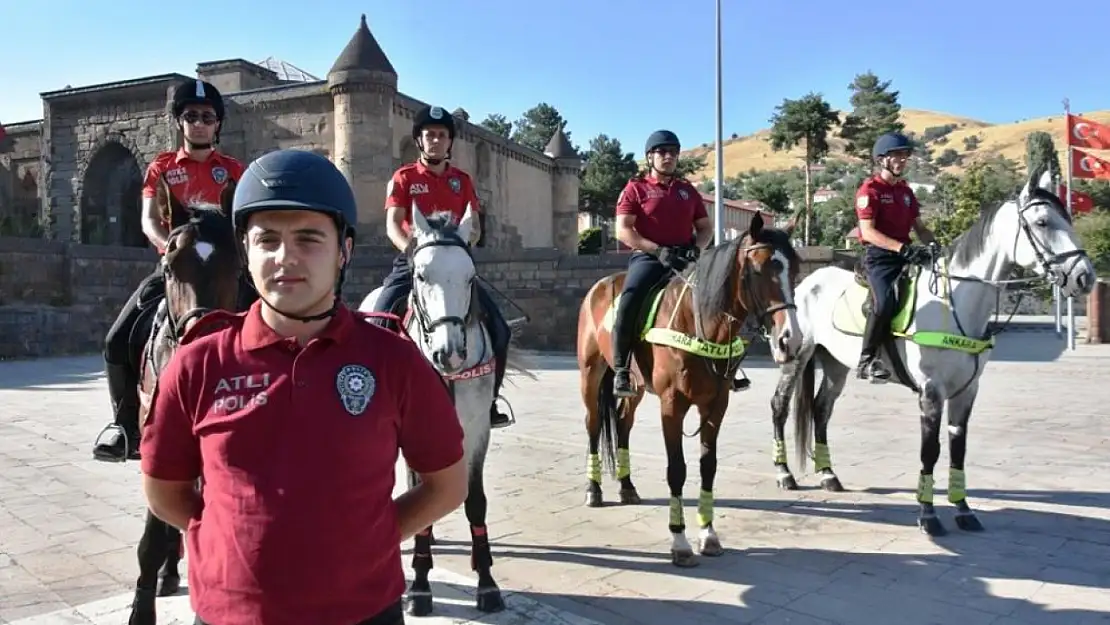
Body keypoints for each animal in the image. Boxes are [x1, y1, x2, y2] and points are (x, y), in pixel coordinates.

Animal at [352, 204, 530, 617]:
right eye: (420, 275)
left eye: (470, 277)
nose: (448, 353)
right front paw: (419, 587)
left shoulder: (477, 428)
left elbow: (476, 502)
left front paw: (487, 583)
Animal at [577, 214, 803, 568]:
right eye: (758, 269)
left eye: (795, 268)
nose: (789, 340)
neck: (699, 323)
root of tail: (599, 288)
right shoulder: (672, 405)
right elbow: (677, 470)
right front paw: (680, 541)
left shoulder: (716, 404)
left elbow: (707, 466)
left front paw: (708, 535)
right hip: (590, 374)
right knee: (592, 425)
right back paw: (594, 489)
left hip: (635, 387)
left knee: (623, 423)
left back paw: (627, 486)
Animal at [772, 166, 1101, 537]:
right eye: (1043, 222)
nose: (1084, 277)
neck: (955, 302)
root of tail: (805, 283)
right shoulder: (932, 391)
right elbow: (929, 450)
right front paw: (928, 515)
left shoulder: (966, 390)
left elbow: (958, 447)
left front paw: (964, 509)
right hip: (796, 355)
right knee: (780, 406)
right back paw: (784, 473)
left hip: (836, 364)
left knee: (821, 410)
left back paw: (829, 475)